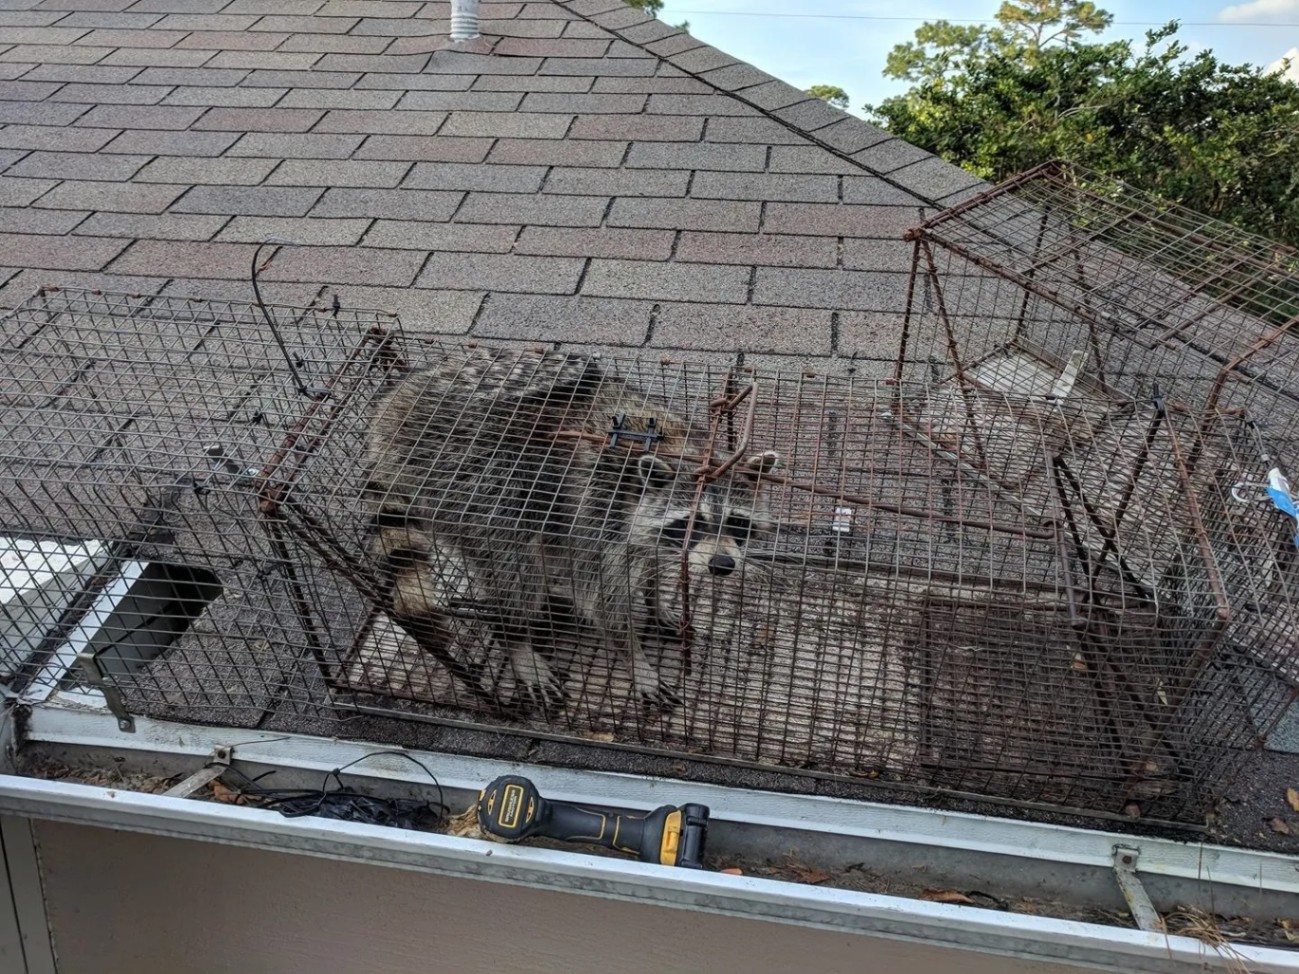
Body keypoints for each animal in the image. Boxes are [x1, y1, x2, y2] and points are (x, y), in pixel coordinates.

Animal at [362, 347, 781, 713]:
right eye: (693, 523)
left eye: (737, 522)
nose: (722, 565)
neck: (679, 448)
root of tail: (394, 404)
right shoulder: (597, 513)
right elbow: (604, 600)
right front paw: (636, 661)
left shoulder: (644, 532)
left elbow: (652, 564)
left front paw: (655, 600)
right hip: (465, 473)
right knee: (517, 565)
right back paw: (516, 638)